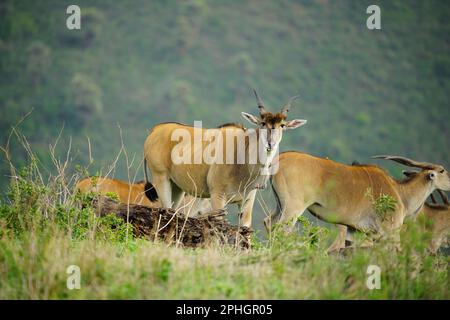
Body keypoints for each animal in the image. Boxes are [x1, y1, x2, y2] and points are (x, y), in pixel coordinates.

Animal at [264, 152, 450, 248]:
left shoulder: (355, 231)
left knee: (269, 222)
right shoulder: (389, 231)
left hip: (281, 205)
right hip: (293, 208)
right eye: (442, 170)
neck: (400, 192)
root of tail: (281, 157)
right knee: (281, 229)